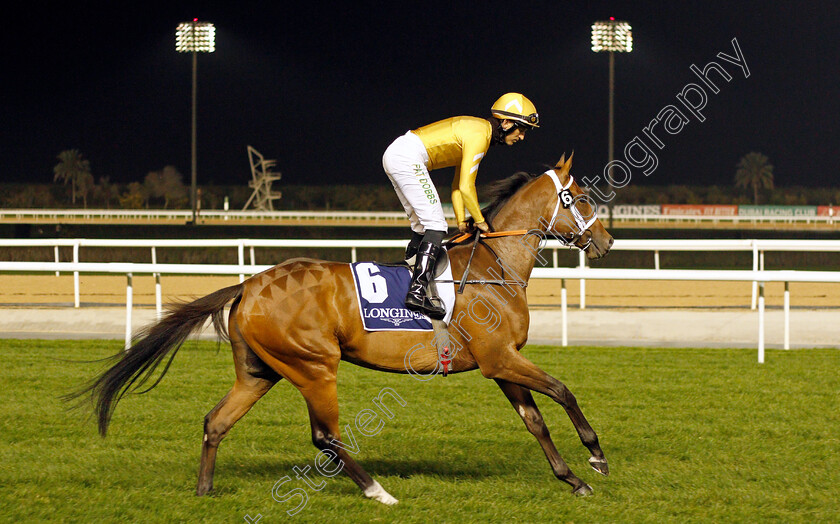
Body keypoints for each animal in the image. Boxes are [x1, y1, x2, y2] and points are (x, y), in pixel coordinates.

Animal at [74, 154, 612, 506]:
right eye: (583, 197)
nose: (607, 241)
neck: (493, 265)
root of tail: (248, 285)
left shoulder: (499, 361)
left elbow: (535, 419)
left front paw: (571, 479)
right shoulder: (499, 358)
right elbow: (562, 391)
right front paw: (595, 457)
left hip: (259, 371)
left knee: (216, 421)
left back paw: (205, 491)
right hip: (315, 365)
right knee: (325, 435)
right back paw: (378, 491)